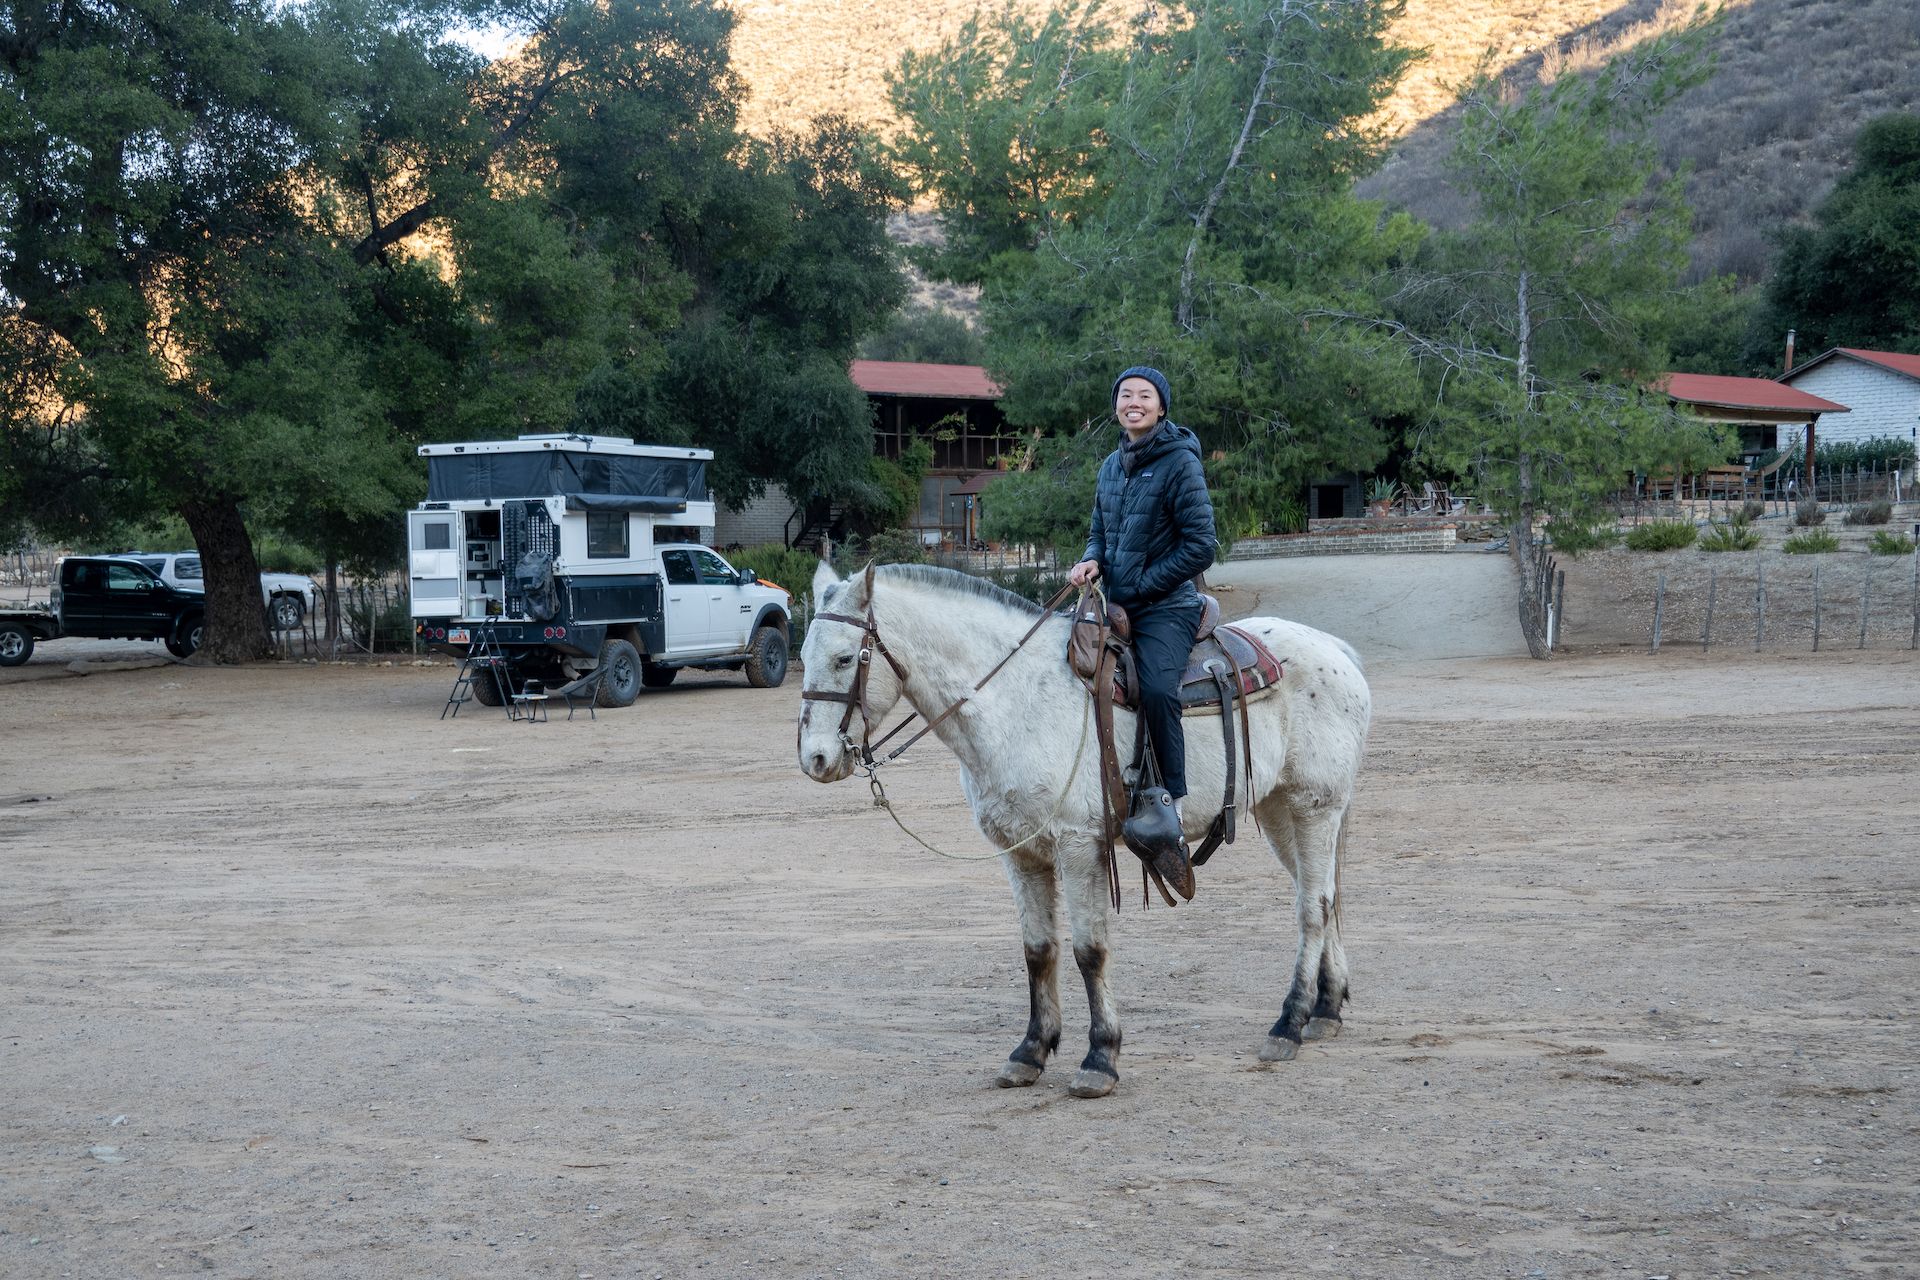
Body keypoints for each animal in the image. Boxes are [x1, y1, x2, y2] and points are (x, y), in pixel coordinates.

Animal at [802, 564, 1374, 1105]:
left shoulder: (1079, 845)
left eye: (846, 659)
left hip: (1314, 807)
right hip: (1279, 811)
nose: (815, 759)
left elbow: (1089, 950)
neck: (1016, 700)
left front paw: (1100, 1058)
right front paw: (1030, 1052)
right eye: (804, 655)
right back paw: (1326, 1009)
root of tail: (1337, 650)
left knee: (1313, 908)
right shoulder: (1020, 853)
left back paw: (1289, 1024)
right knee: (1321, 895)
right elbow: (1038, 949)